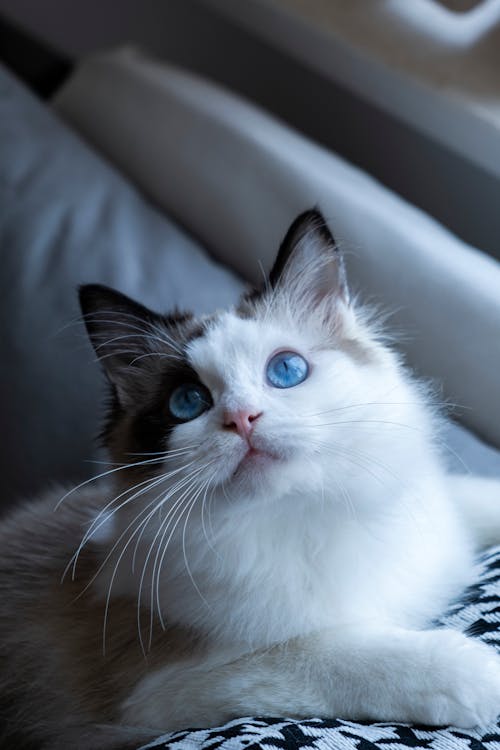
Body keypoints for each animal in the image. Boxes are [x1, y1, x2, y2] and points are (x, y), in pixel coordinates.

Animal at [0, 212, 500, 750]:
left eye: (286, 370)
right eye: (187, 402)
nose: (242, 418)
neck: (299, 517)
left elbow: (473, 495)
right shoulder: (168, 688)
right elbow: (332, 653)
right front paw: (477, 675)